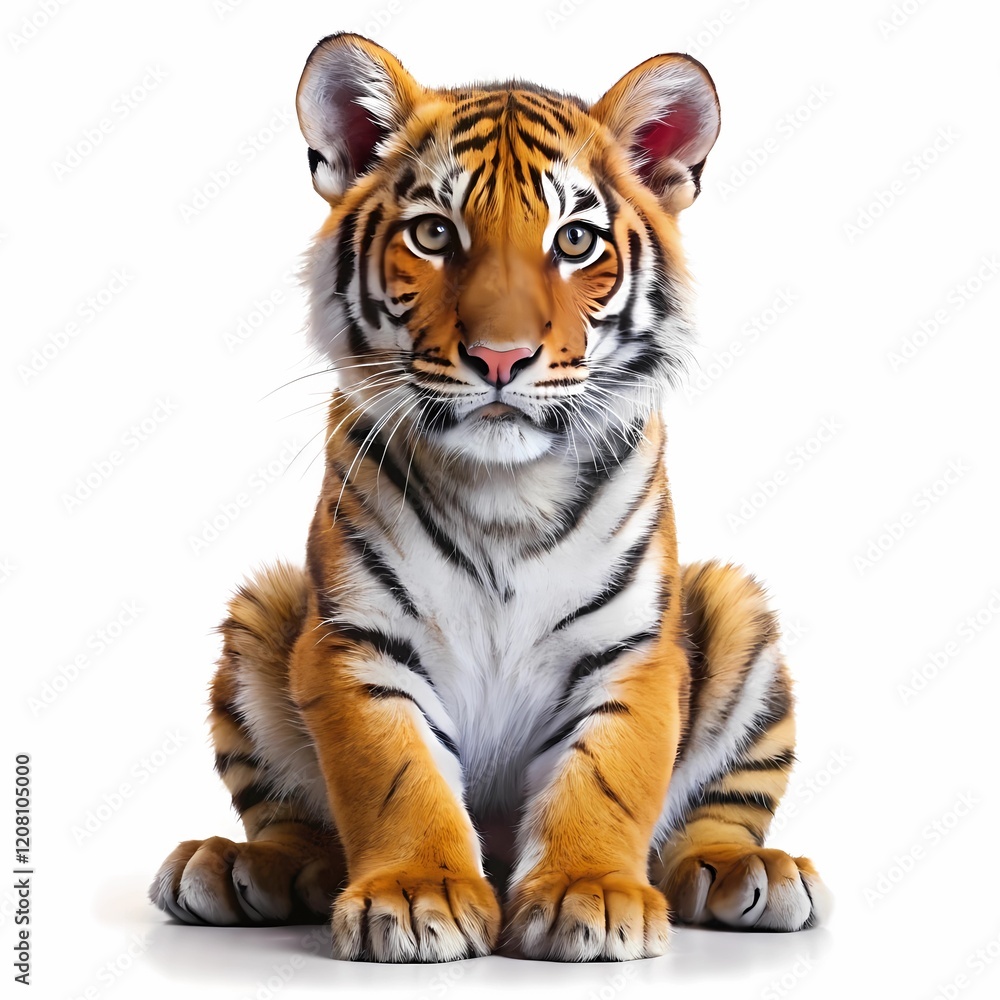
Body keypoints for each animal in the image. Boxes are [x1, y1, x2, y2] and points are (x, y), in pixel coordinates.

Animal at [149, 32, 830, 962]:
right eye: (435, 233)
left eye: (575, 241)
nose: (501, 358)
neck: (506, 489)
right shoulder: (360, 638)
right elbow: (395, 774)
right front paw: (416, 895)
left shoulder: (631, 648)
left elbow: (607, 776)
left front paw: (590, 893)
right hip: (266, 608)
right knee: (293, 821)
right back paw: (239, 866)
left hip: (735, 610)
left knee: (720, 817)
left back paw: (746, 872)